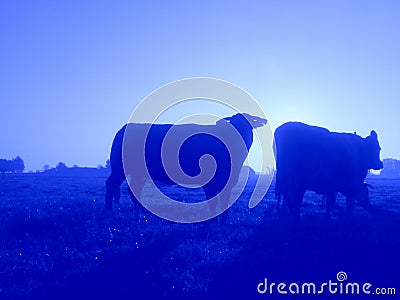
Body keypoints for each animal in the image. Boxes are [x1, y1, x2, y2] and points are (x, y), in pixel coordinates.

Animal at [104, 112, 268, 220]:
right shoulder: (210, 181)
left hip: (139, 173)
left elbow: (224, 200)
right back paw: (109, 210)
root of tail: (123, 129)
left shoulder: (227, 180)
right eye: (235, 124)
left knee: (134, 190)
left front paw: (225, 219)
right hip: (119, 168)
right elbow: (213, 201)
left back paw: (142, 213)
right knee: (111, 184)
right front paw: (213, 219)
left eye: (249, 125)